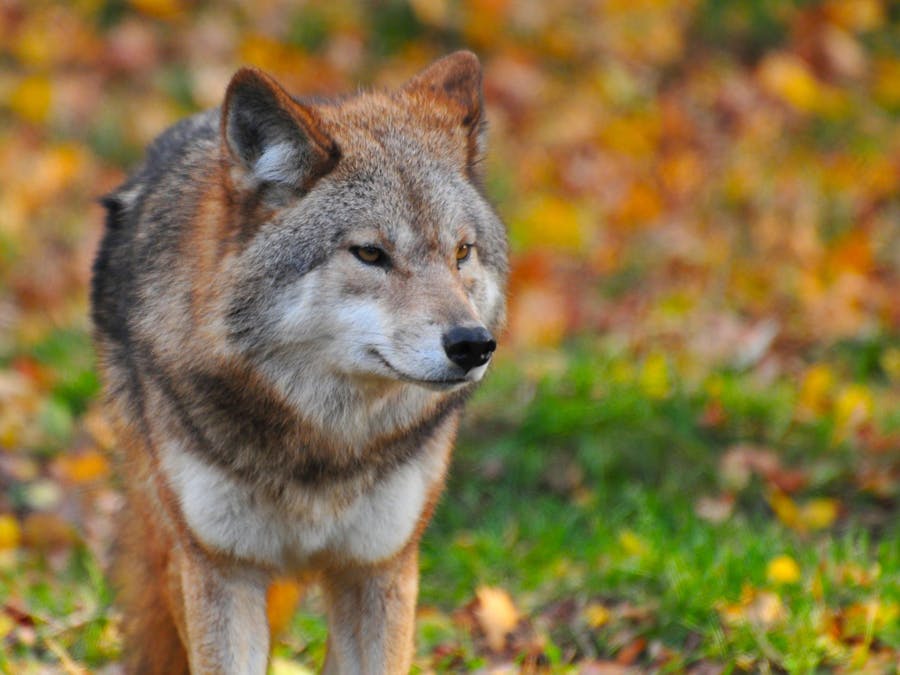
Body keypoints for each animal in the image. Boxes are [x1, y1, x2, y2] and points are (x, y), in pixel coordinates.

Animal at [90, 51, 507, 674]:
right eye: (370, 253)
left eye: (462, 252)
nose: (473, 344)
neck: (323, 447)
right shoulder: (220, 570)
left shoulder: (379, 567)